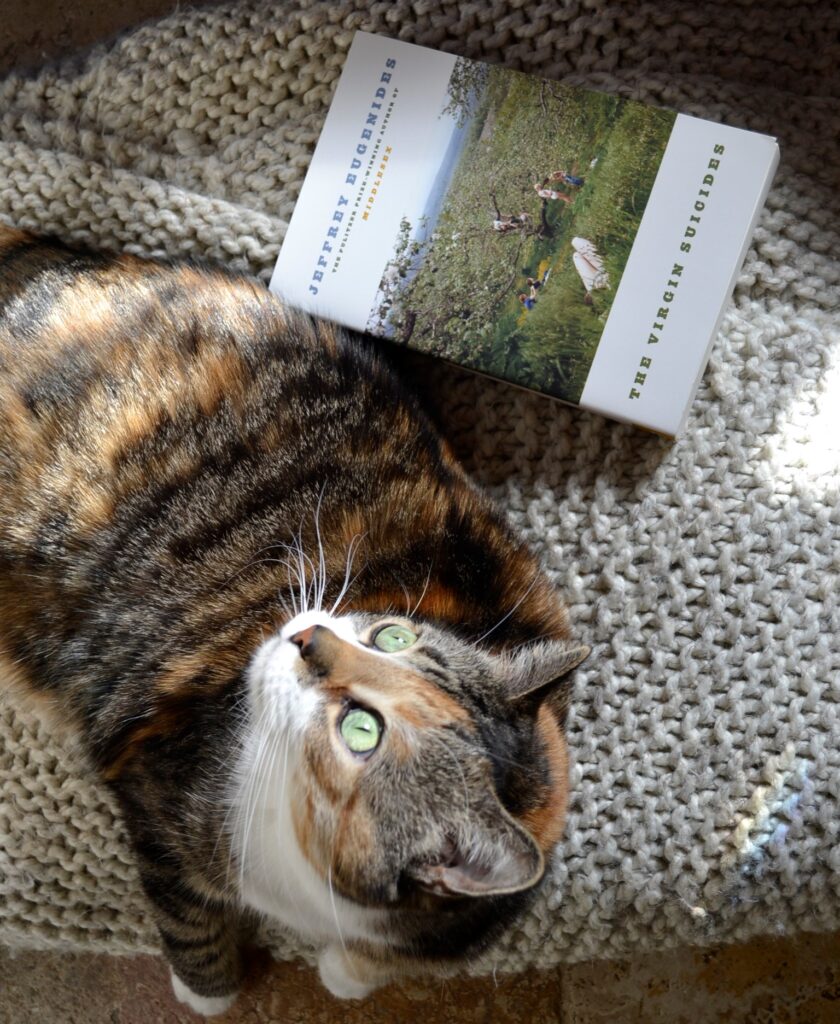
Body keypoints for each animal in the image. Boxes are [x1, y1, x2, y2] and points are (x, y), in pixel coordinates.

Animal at [0, 226, 585, 1015]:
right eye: (391, 634)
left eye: (361, 732)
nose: (309, 636)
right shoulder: (159, 794)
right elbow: (188, 919)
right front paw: (208, 996)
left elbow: (379, 961)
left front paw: (345, 971)